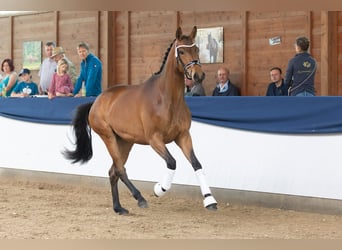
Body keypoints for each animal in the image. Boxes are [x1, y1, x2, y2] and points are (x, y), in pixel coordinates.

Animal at [64, 25, 218, 215]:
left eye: (196, 49)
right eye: (181, 51)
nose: (198, 75)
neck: (168, 99)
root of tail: (96, 101)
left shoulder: (183, 136)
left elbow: (196, 163)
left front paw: (210, 201)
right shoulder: (155, 139)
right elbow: (172, 162)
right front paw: (159, 189)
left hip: (125, 142)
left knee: (113, 172)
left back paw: (119, 208)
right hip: (109, 137)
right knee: (120, 169)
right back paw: (140, 198)